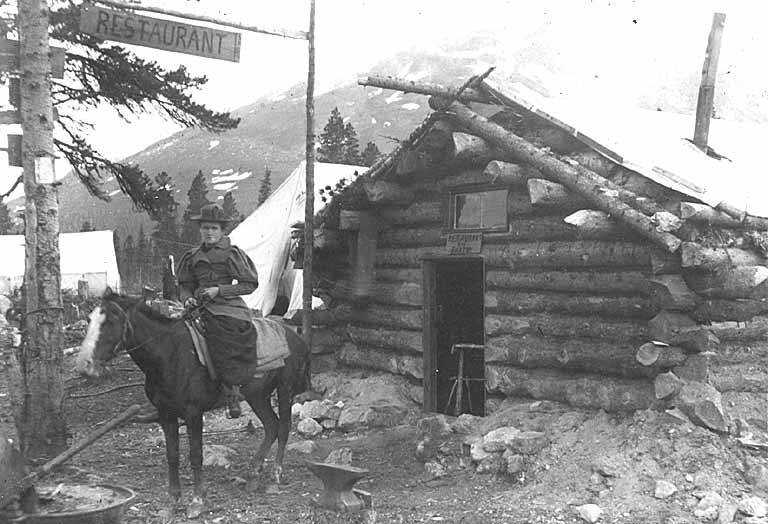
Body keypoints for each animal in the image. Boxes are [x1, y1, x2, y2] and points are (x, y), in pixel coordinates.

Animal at [74, 288, 308, 516]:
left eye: (112, 320)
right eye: (89, 319)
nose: (85, 364)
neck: (169, 355)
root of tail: (293, 335)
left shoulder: (193, 413)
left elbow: (196, 455)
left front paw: (197, 501)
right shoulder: (166, 414)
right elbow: (172, 456)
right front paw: (173, 501)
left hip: (284, 389)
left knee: (283, 427)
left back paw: (276, 473)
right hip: (257, 395)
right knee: (271, 425)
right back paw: (253, 472)